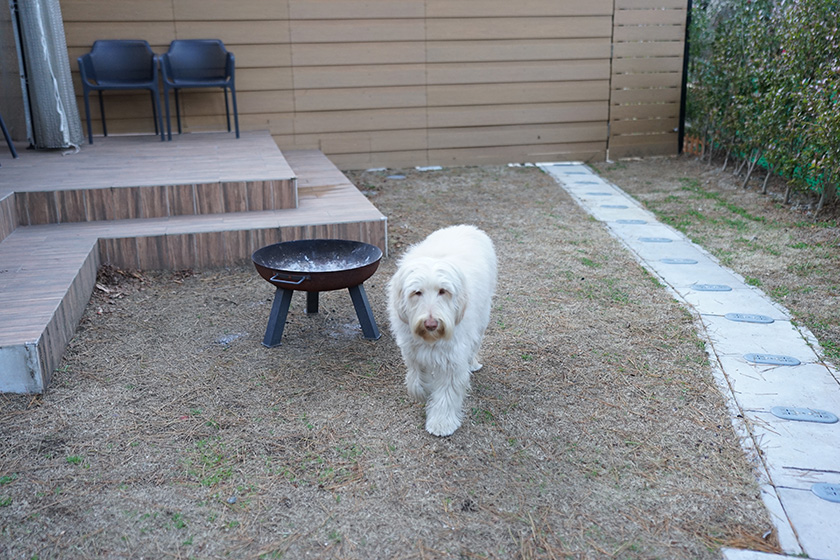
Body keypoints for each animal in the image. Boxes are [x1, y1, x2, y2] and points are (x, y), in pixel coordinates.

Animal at [387, 225, 497, 436]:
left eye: (443, 291)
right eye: (417, 292)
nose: (431, 324)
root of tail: (467, 226)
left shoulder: (452, 359)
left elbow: (447, 392)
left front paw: (441, 423)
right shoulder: (412, 351)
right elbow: (416, 380)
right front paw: (424, 391)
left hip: (481, 319)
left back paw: (473, 363)